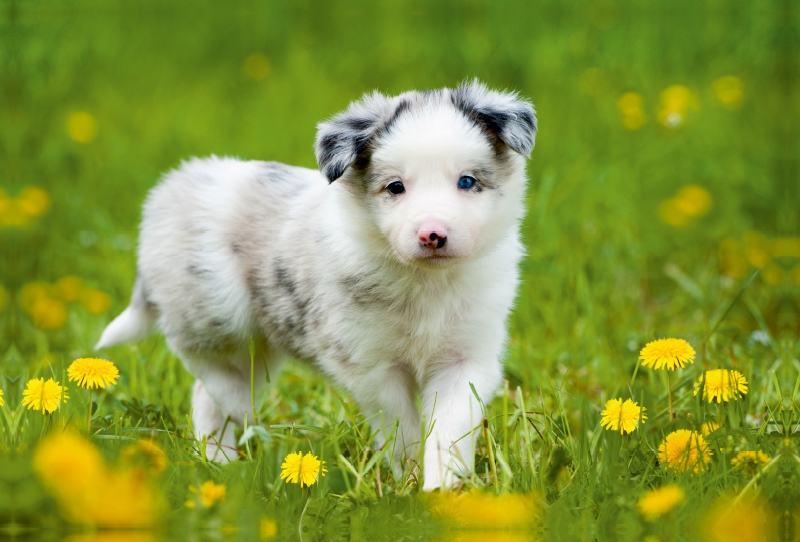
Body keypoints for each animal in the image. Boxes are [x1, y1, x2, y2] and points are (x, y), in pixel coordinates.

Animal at [98, 81, 536, 492]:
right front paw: (408, 480)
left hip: (258, 345)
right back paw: (240, 417)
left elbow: (449, 429)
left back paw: (220, 462)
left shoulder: (466, 359)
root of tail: (170, 188)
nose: (433, 235)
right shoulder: (371, 364)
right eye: (395, 187)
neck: (426, 282)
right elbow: (401, 426)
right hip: (213, 306)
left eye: (467, 181)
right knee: (202, 362)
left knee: (208, 394)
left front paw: (442, 491)